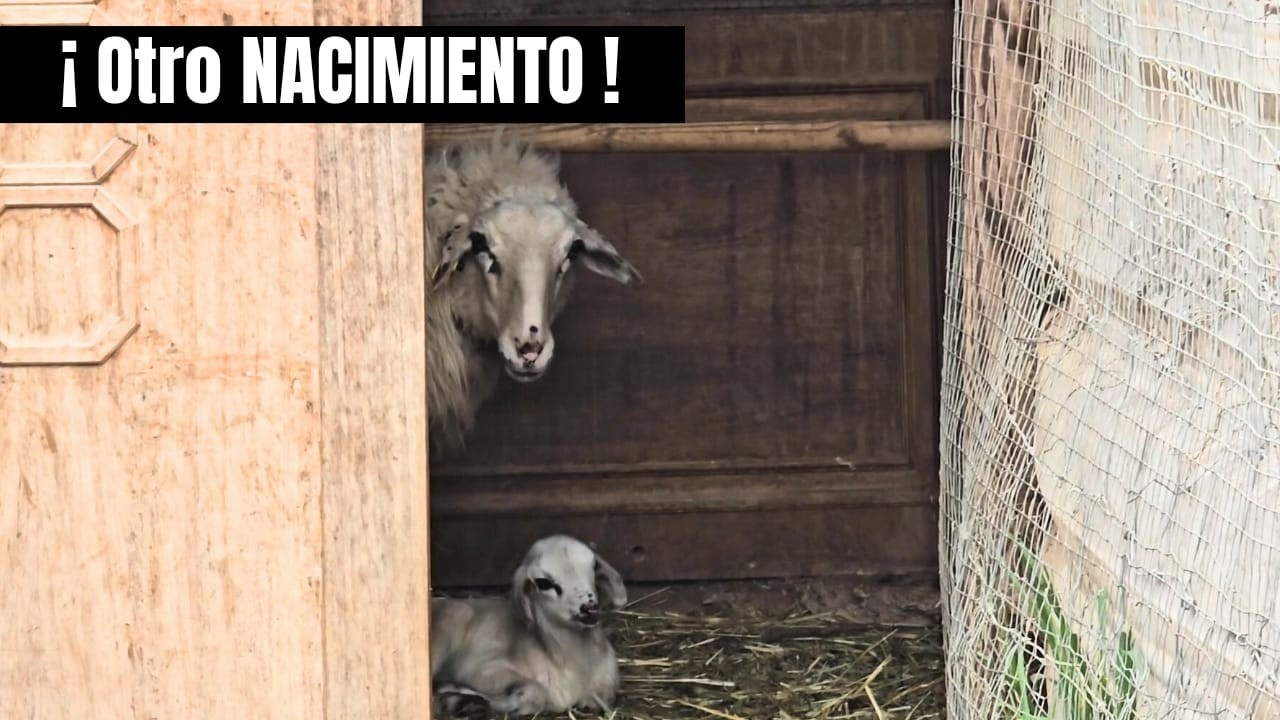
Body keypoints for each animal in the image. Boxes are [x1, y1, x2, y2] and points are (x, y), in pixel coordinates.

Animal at [429, 534, 629, 717]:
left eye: (594, 566)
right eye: (543, 583)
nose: (589, 608)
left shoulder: (607, 680)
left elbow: (600, 698)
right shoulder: (481, 670)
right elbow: (535, 692)